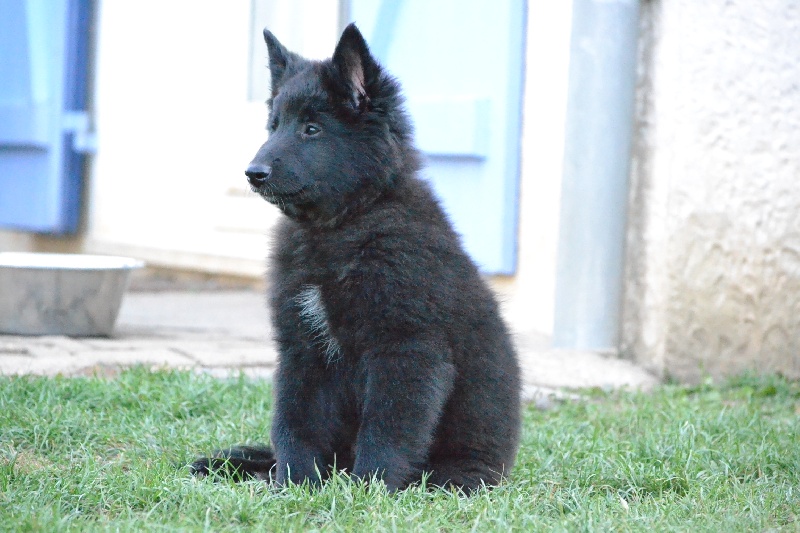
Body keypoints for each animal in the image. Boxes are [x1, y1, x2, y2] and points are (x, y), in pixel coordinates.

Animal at [191, 23, 521, 493]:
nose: (253, 174)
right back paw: (241, 465)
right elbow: (294, 422)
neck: (339, 228)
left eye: (312, 129)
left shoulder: (406, 348)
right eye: (274, 126)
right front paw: (295, 484)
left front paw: (371, 489)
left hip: (462, 470)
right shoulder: (302, 348)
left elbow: (386, 428)